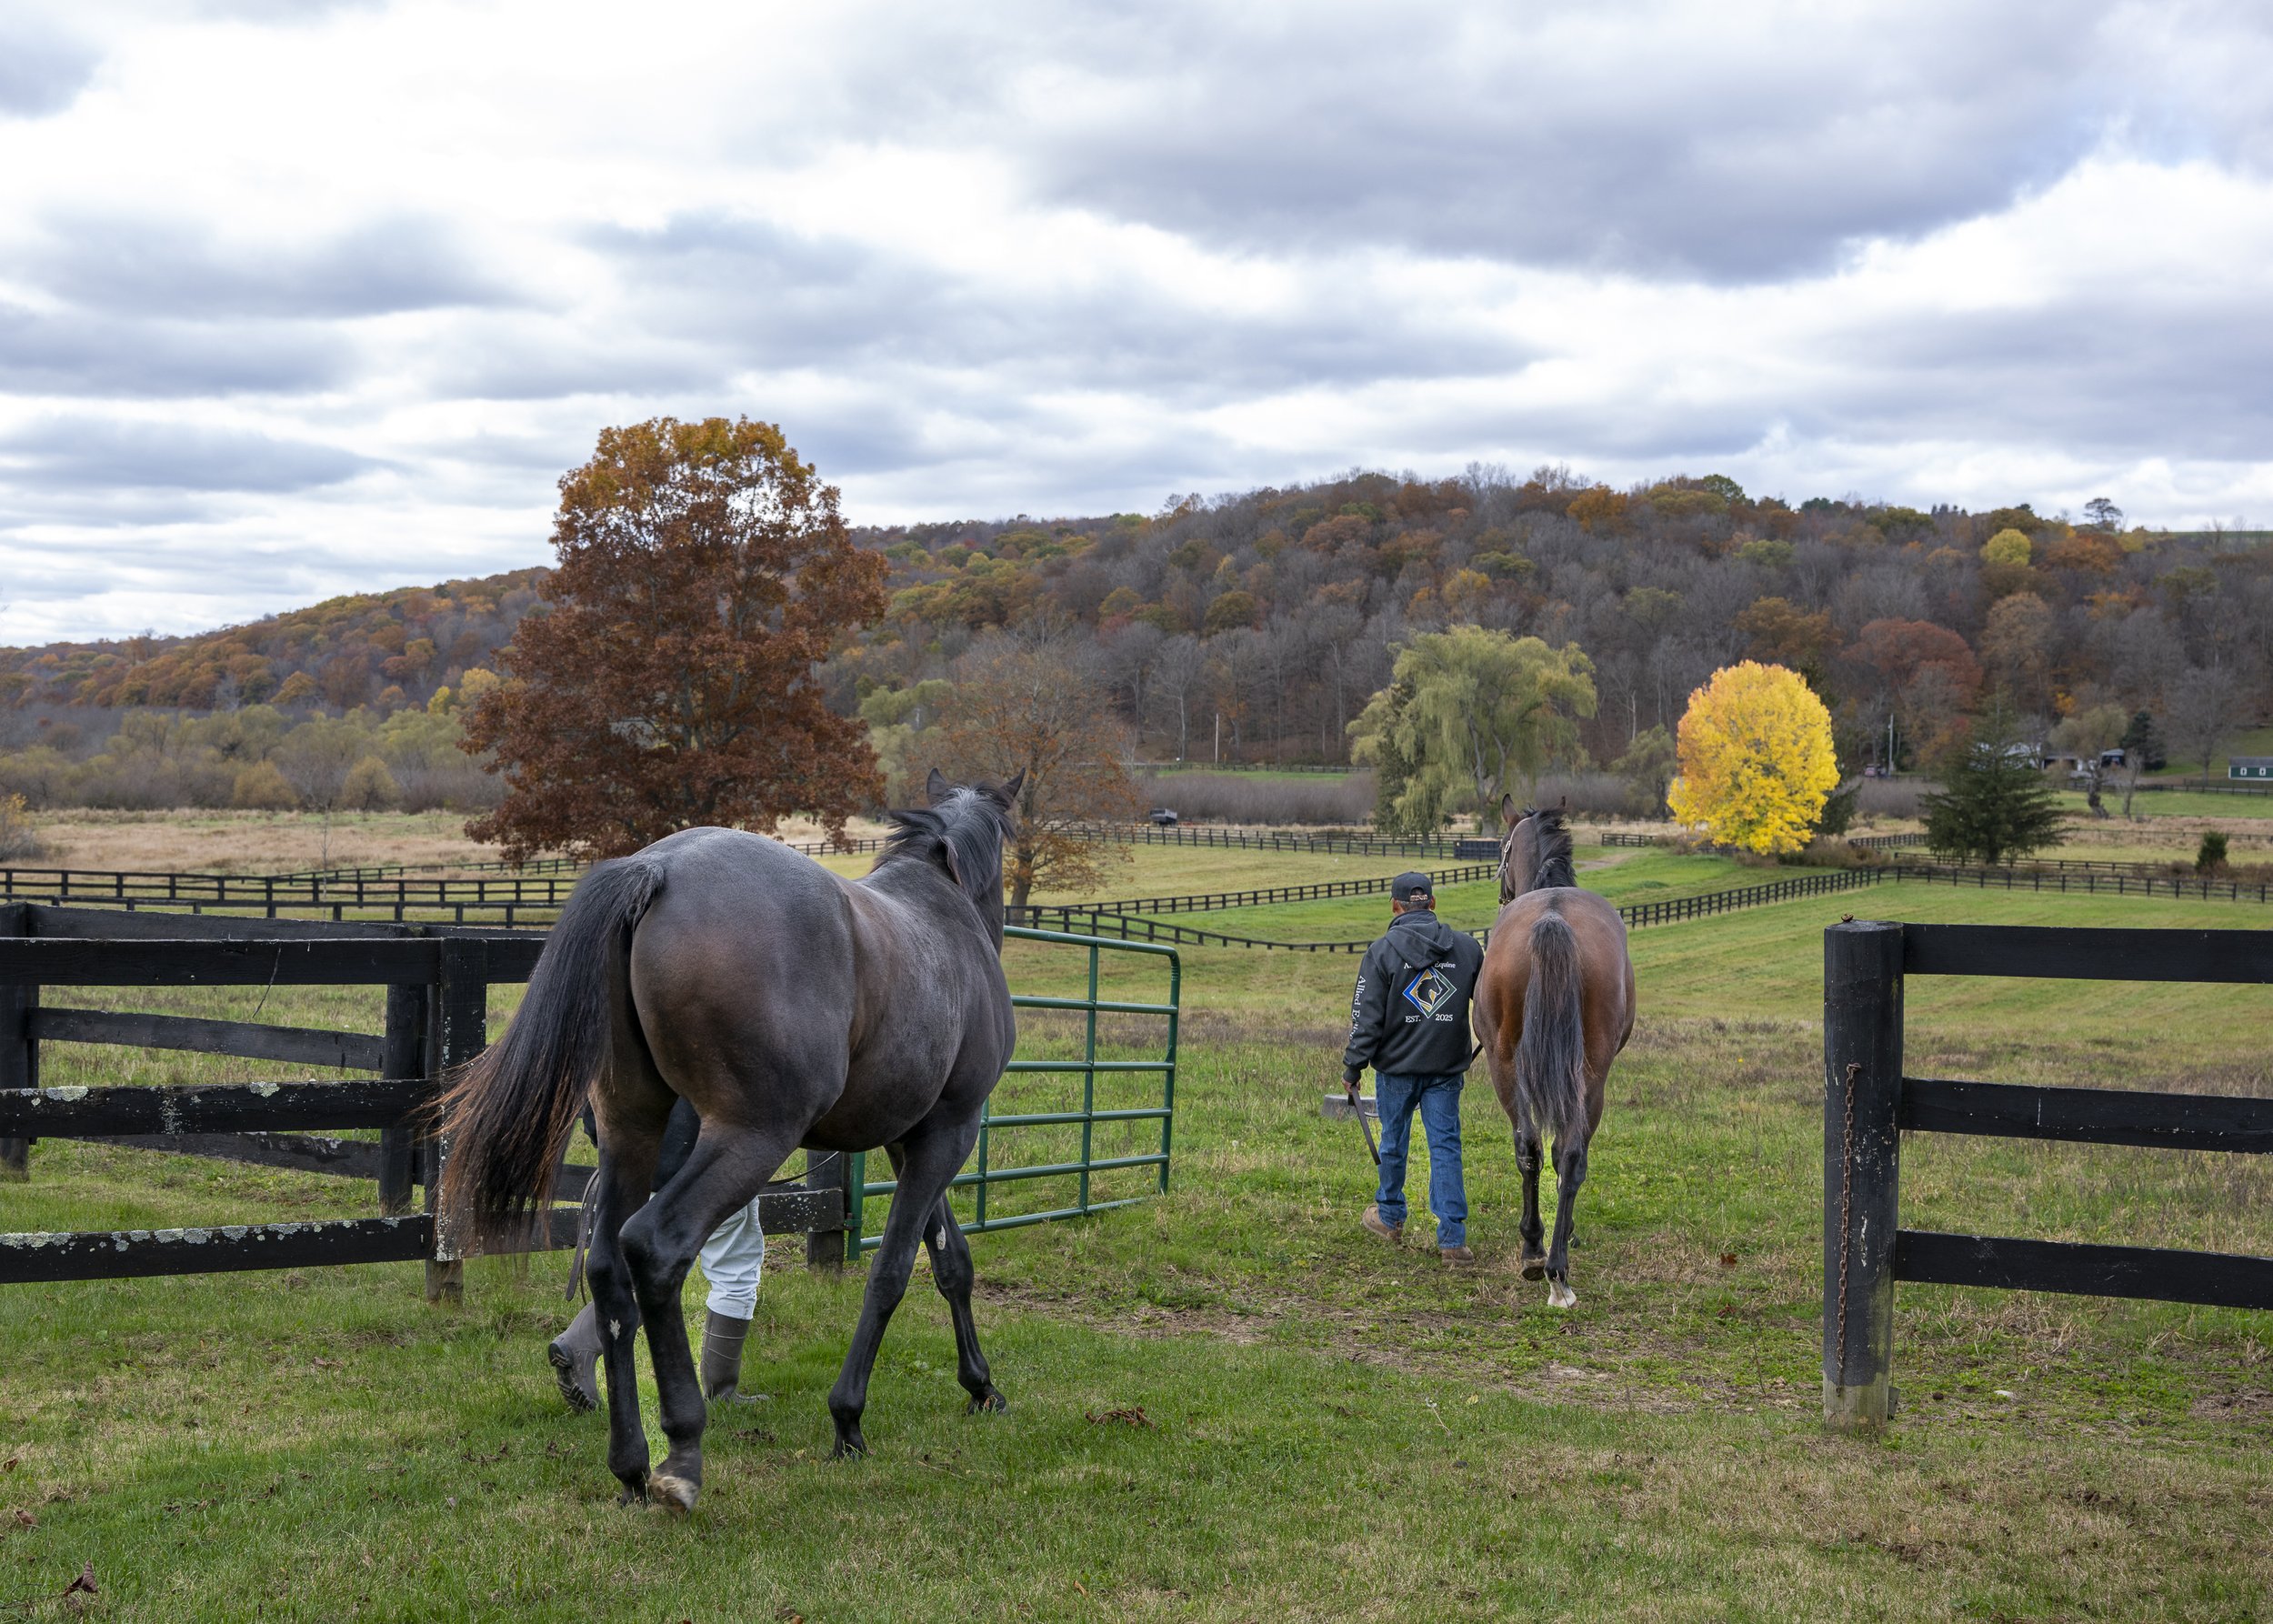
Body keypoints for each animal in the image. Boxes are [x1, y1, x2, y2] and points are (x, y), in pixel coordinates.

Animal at [437, 768, 1026, 1510]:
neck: (943, 916)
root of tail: (654, 870)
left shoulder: (913, 1141)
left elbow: (952, 1262)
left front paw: (981, 1386)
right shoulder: (950, 1130)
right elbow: (891, 1274)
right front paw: (849, 1420)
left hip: (632, 1133)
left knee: (608, 1268)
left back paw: (630, 1462)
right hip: (749, 1139)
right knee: (655, 1247)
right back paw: (682, 1451)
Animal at [1471, 799, 1635, 1309]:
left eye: (1501, 848)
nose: (1500, 891)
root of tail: (1553, 917)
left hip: (1506, 1066)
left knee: (1533, 1147)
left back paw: (1540, 1256)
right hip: (1588, 1075)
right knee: (1565, 1152)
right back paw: (1552, 1264)